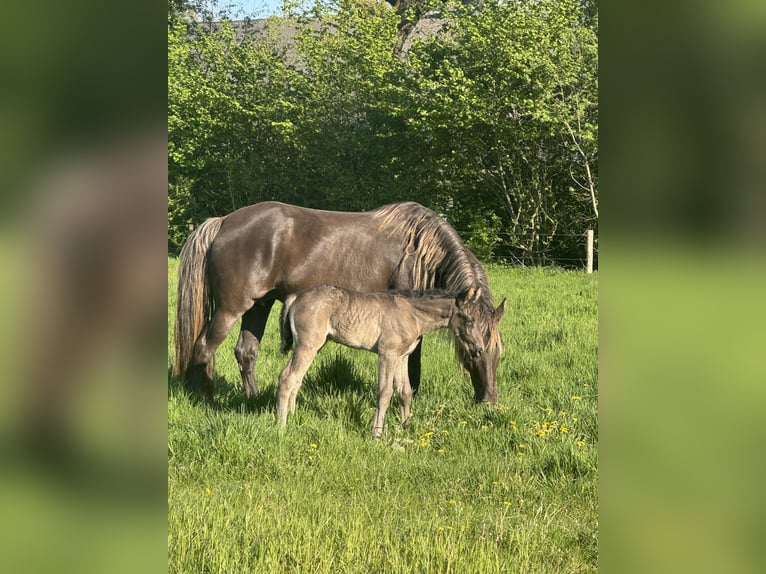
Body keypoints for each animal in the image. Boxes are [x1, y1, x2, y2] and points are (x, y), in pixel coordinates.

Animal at [172, 201, 505, 403]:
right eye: (475, 352)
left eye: (498, 354)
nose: (488, 400)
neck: (419, 251)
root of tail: (223, 221)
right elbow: (413, 363)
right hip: (231, 308)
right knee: (203, 348)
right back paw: (199, 398)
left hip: (259, 306)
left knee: (246, 353)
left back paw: (253, 399)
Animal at [277, 285, 499, 437]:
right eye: (468, 319)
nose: (479, 349)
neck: (412, 313)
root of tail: (296, 297)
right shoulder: (388, 354)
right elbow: (384, 393)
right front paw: (376, 434)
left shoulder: (402, 357)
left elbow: (405, 392)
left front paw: (406, 426)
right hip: (307, 345)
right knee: (288, 378)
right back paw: (282, 425)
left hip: (314, 346)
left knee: (295, 378)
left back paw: (293, 416)